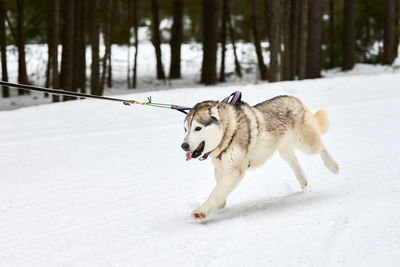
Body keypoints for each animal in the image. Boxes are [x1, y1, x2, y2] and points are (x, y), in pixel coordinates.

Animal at [183, 95, 340, 221]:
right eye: (185, 129)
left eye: (197, 128)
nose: (183, 145)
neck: (228, 133)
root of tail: (293, 98)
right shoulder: (220, 169)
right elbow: (219, 189)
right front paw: (220, 205)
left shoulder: (235, 170)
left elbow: (216, 192)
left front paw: (201, 211)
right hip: (284, 150)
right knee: (294, 160)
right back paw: (303, 180)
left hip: (305, 143)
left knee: (321, 147)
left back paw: (333, 166)